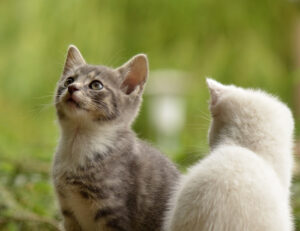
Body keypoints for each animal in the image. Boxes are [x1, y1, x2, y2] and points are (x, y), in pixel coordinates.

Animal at [51, 45, 179, 231]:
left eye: (96, 85)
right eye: (69, 80)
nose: (72, 87)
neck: (79, 142)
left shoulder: (113, 214)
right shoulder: (69, 213)